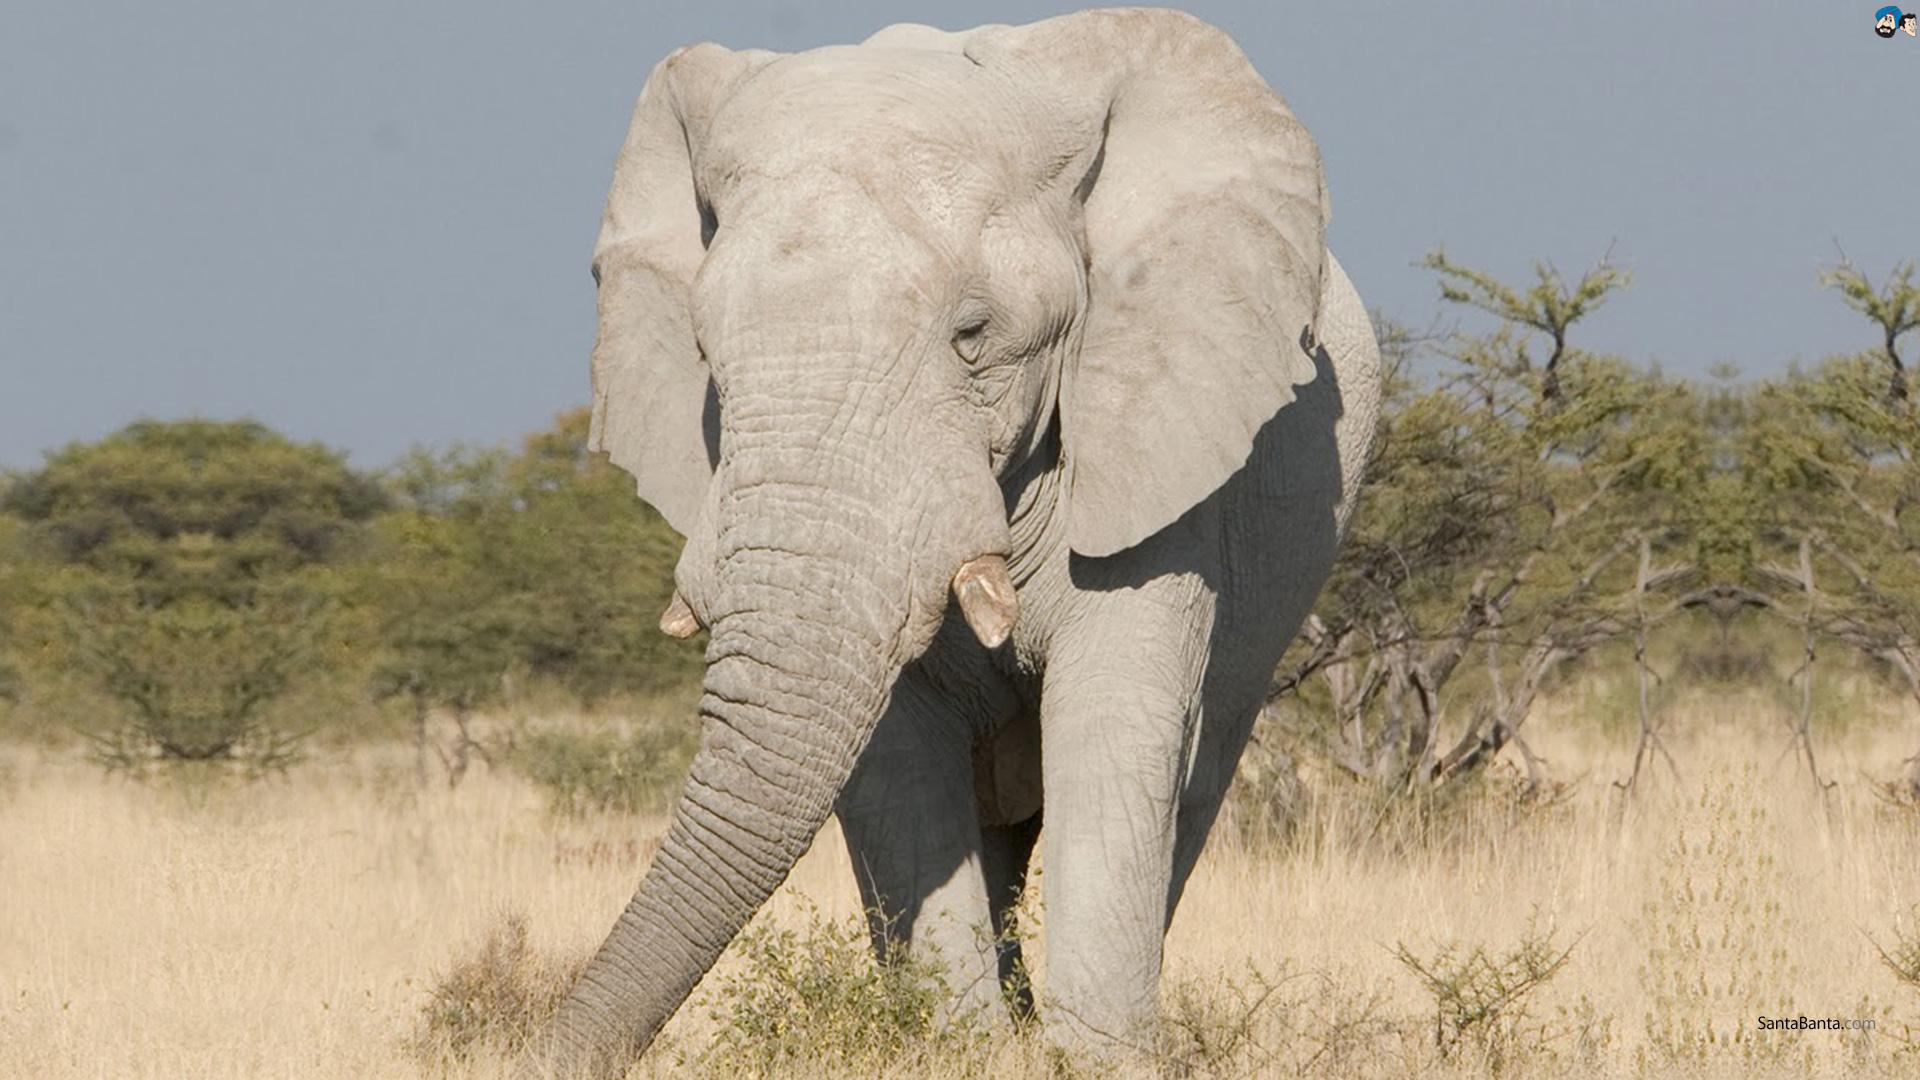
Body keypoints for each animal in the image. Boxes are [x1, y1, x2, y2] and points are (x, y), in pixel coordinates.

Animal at [524, 9, 1382, 1077]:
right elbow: (899, 766)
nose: (527, 1045)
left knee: (1192, 779)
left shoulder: (1161, 440)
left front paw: (1093, 1059)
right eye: (706, 355)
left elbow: (1116, 725)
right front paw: (963, 1050)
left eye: (974, 334)